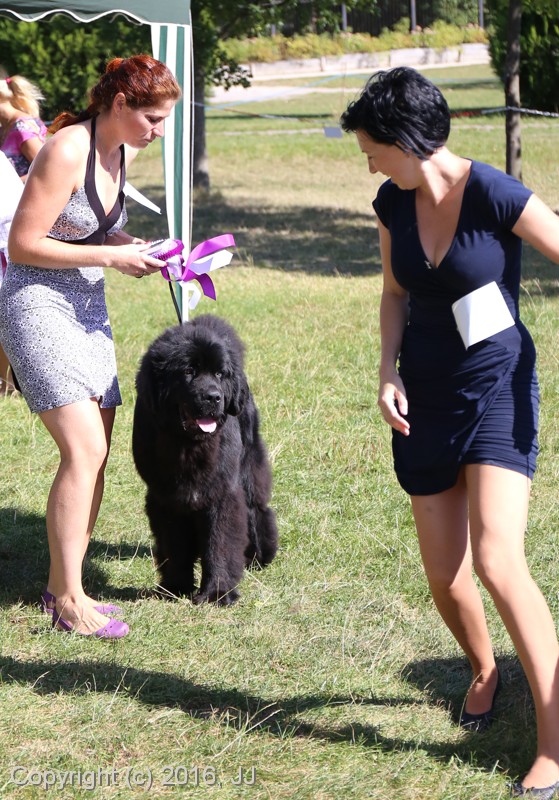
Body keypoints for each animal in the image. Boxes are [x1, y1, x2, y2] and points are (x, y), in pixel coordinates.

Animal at [132, 314, 278, 605]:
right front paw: (176, 586)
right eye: (188, 371)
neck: (188, 446)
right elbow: (174, 544)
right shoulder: (165, 497)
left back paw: (258, 556)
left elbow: (219, 542)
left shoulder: (222, 493)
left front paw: (218, 593)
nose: (213, 396)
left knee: (256, 509)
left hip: (248, 468)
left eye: (220, 374)